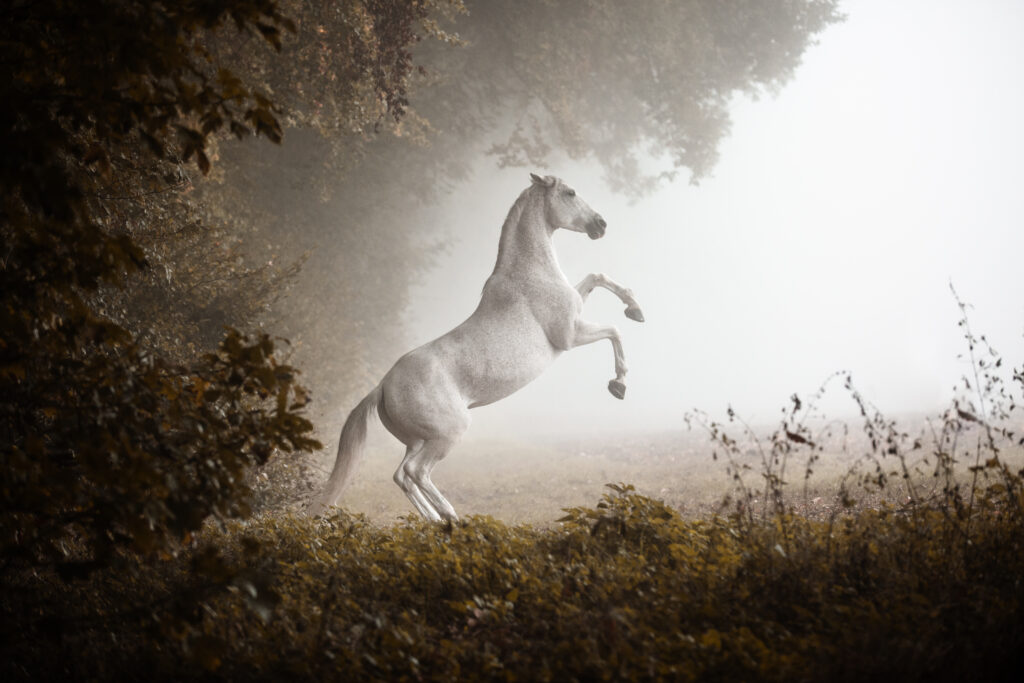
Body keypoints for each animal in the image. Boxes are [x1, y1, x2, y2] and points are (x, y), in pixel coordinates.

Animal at [313, 174, 647, 520]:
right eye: (570, 193)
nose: (601, 224)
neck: (529, 274)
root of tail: (381, 387)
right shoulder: (571, 334)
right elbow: (614, 330)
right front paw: (619, 384)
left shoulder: (578, 310)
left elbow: (597, 277)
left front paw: (635, 309)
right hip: (447, 433)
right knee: (417, 472)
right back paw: (450, 516)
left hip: (418, 440)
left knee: (402, 475)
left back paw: (434, 521)